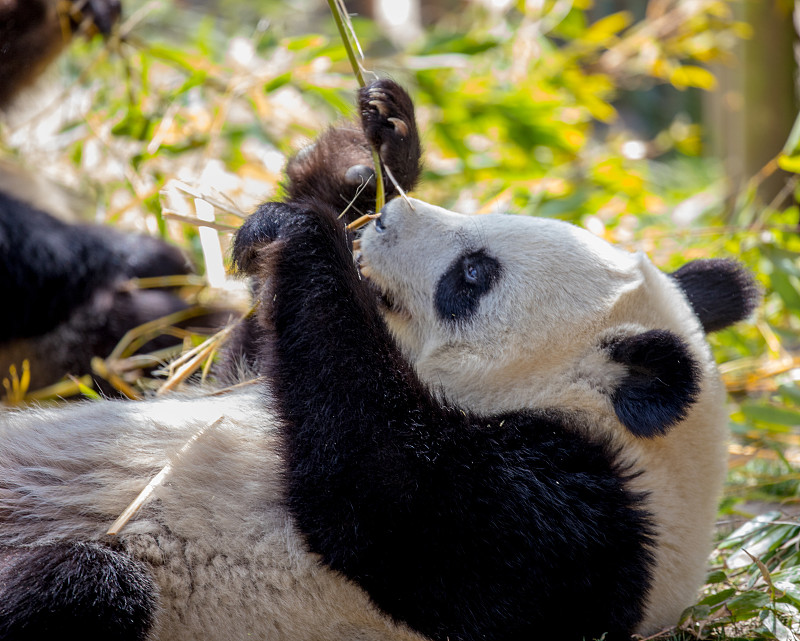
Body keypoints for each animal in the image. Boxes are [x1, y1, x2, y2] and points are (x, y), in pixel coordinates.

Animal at [0, 80, 756, 640]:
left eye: (474, 273)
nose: (391, 220)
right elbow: (244, 365)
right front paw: (369, 159)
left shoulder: (566, 531)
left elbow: (371, 484)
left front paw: (308, 231)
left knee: (91, 589)